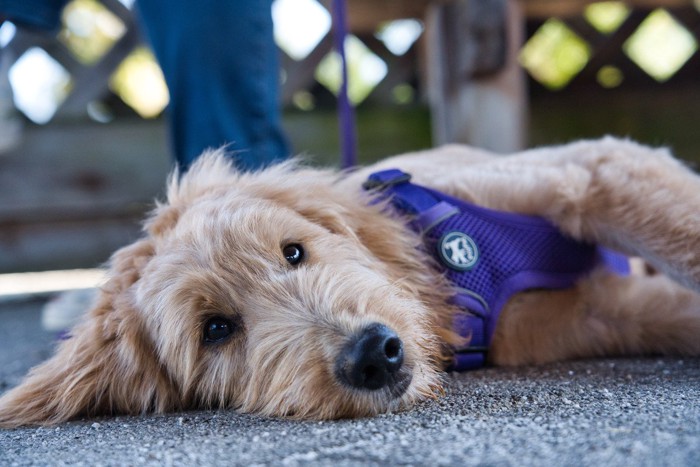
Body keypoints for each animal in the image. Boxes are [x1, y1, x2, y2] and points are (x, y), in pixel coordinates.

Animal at [1, 136, 700, 428]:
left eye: (294, 251)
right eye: (216, 329)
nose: (372, 354)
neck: (453, 276)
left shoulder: (591, 170)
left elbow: (683, 233)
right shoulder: (612, 313)